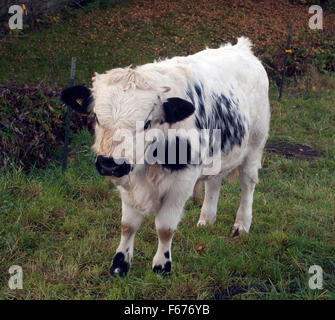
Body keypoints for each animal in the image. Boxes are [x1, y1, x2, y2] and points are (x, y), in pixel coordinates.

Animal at [60, 37, 270, 278]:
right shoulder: (128, 184)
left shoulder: (181, 185)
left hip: (255, 145)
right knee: (214, 183)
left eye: (146, 123)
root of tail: (242, 47)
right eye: (95, 117)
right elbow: (127, 225)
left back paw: (242, 225)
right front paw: (119, 265)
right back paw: (206, 220)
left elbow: (165, 228)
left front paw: (162, 266)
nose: (109, 164)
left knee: (248, 184)